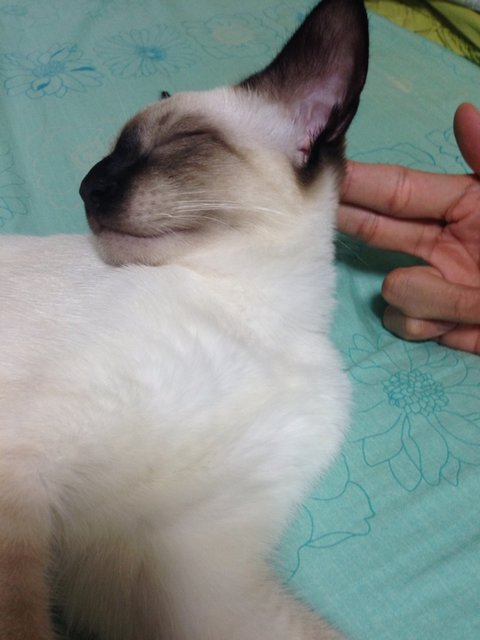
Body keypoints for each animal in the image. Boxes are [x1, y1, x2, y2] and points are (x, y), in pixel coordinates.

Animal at [0, 0, 368, 638]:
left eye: (181, 142)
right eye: (111, 155)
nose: (87, 187)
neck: (263, 317)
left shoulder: (184, 564)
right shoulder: (27, 461)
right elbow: (22, 616)